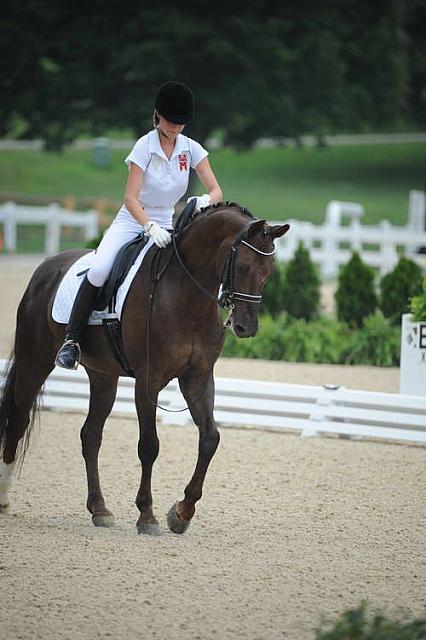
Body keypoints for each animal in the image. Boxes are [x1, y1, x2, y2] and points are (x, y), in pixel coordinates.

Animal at [0, 202, 290, 532]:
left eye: (269, 270)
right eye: (241, 266)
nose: (246, 327)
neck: (186, 291)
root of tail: (46, 266)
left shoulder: (198, 378)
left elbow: (210, 438)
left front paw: (182, 512)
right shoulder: (148, 380)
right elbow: (149, 445)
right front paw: (147, 515)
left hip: (103, 376)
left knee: (90, 435)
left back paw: (99, 509)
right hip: (34, 362)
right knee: (18, 420)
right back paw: (5, 498)